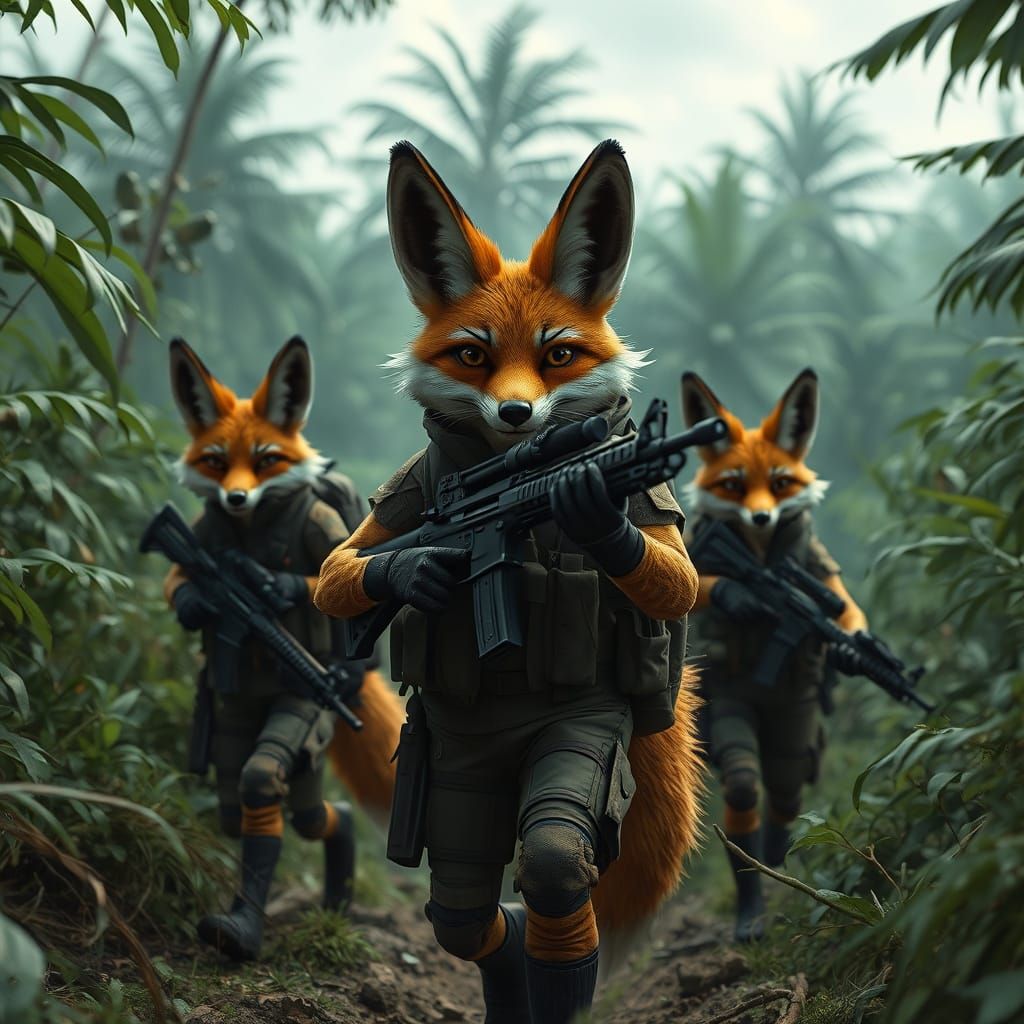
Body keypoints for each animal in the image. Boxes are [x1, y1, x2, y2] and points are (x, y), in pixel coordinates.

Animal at [164, 337, 403, 959]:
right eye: (215, 460)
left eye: (267, 459)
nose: (236, 497)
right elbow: (178, 579)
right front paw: (199, 600)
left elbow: (338, 573)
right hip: (228, 726)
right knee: (236, 800)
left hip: (307, 723)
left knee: (292, 798)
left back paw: (340, 868)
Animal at [316, 139, 703, 1020]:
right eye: (472, 354)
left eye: (560, 354)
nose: (519, 418)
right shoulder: (413, 496)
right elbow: (339, 569)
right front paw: (414, 569)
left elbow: (680, 577)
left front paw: (595, 514)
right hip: (454, 784)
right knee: (462, 900)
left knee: (550, 865)